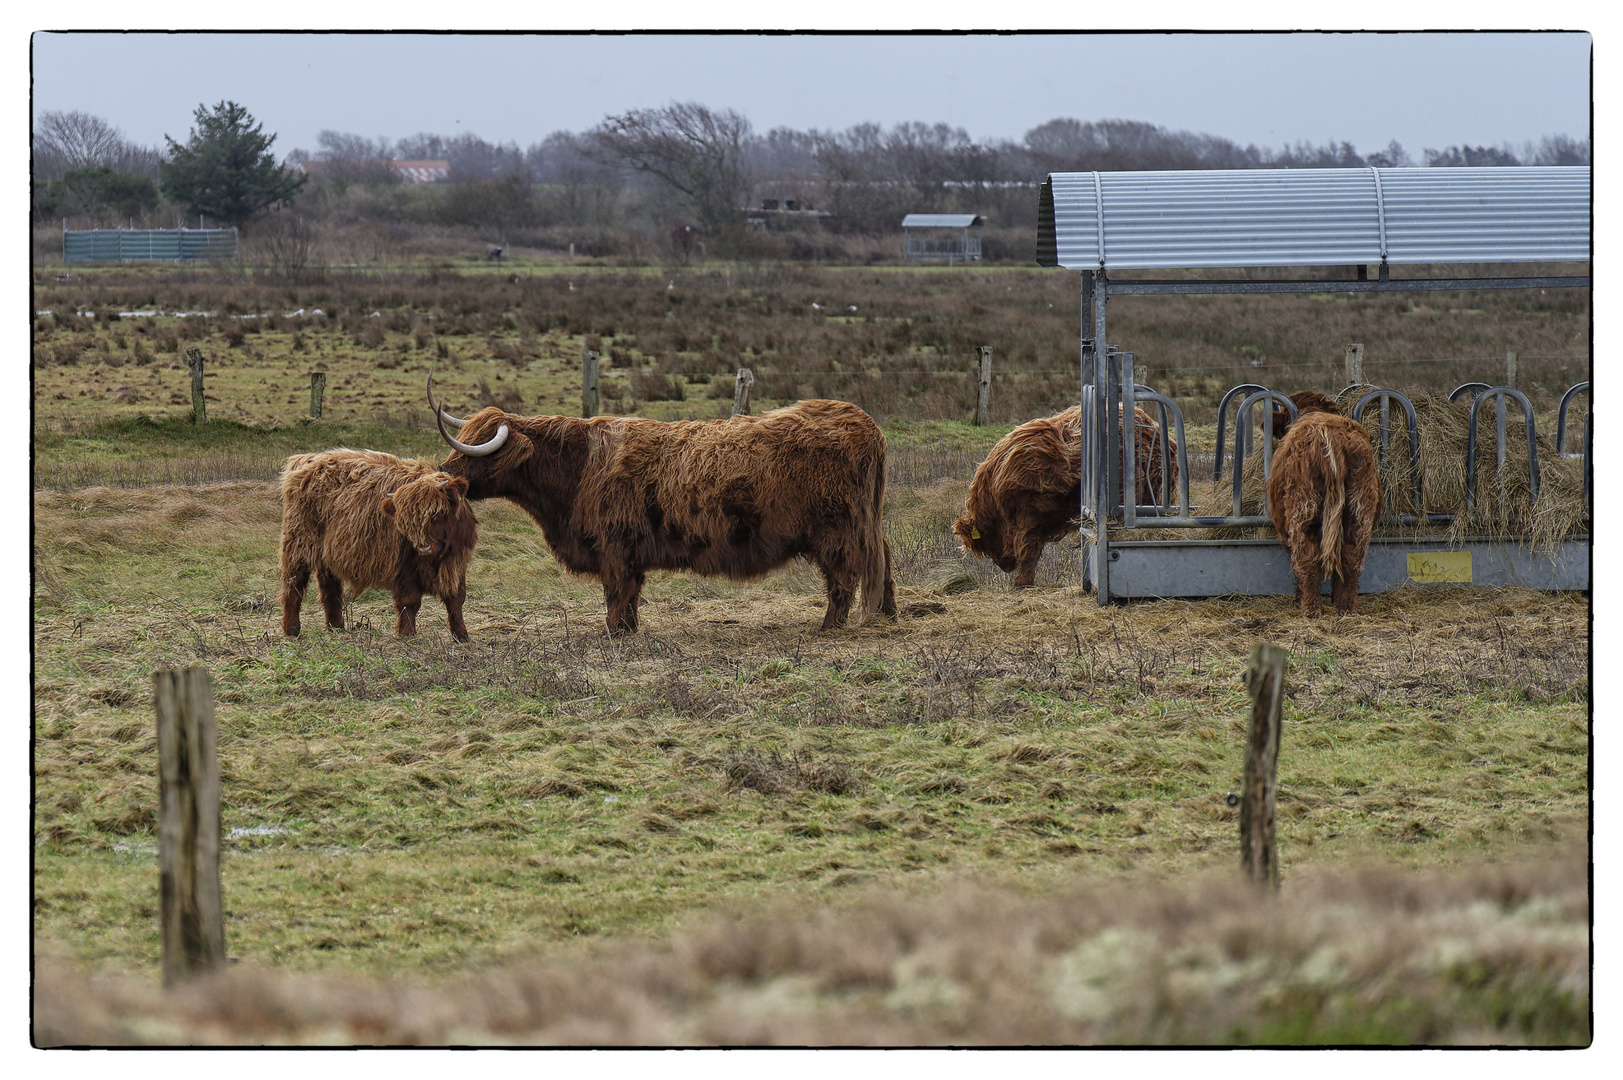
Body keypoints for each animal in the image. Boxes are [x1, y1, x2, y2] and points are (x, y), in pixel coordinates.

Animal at [280, 448, 477, 639]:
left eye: (437, 513)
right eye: (404, 522)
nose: (423, 547)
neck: (437, 558)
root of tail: (309, 459)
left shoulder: (457, 561)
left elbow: (456, 599)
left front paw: (461, 636)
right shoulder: (403, 565)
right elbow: (409, 601)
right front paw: (407, 635)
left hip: (327, 552)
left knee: (329, 587)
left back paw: (335, 627)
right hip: (298, 542)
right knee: (294, 584)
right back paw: (292, 631)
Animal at [425, 376, 895, 636]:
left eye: (477, 453)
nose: (444, 473)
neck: (576, 471)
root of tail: (863, 421)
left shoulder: (615, 545)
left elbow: (616, 592)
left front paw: (612, 633)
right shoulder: (630, 552)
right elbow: (631, 594)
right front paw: (628, 630)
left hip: (837, 529)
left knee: (844, 576)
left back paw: (829, 626)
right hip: (866, 523)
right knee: (883, 559)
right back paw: (886, 614)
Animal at [1265, 396, 1382, 613]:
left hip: (1304, 510)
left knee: (1307, 557)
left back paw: (1310, 607)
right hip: (1358, 509)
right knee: (1352, 557)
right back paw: (1346, 606)